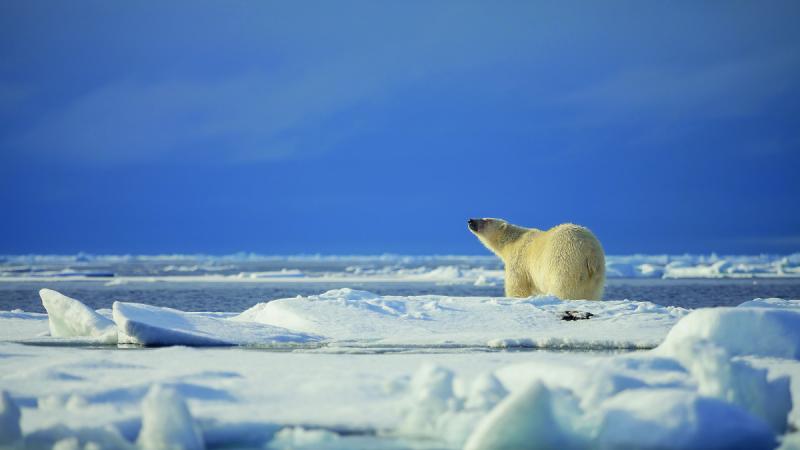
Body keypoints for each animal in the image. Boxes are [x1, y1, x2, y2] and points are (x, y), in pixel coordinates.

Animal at [468, 218, 605, 300]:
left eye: (486, 220)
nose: (470, 220)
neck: (513, 241)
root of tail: (590, 252)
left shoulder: (518, 261)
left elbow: (517, 285)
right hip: (595, 277)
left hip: (566, 263)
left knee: (563, 287)